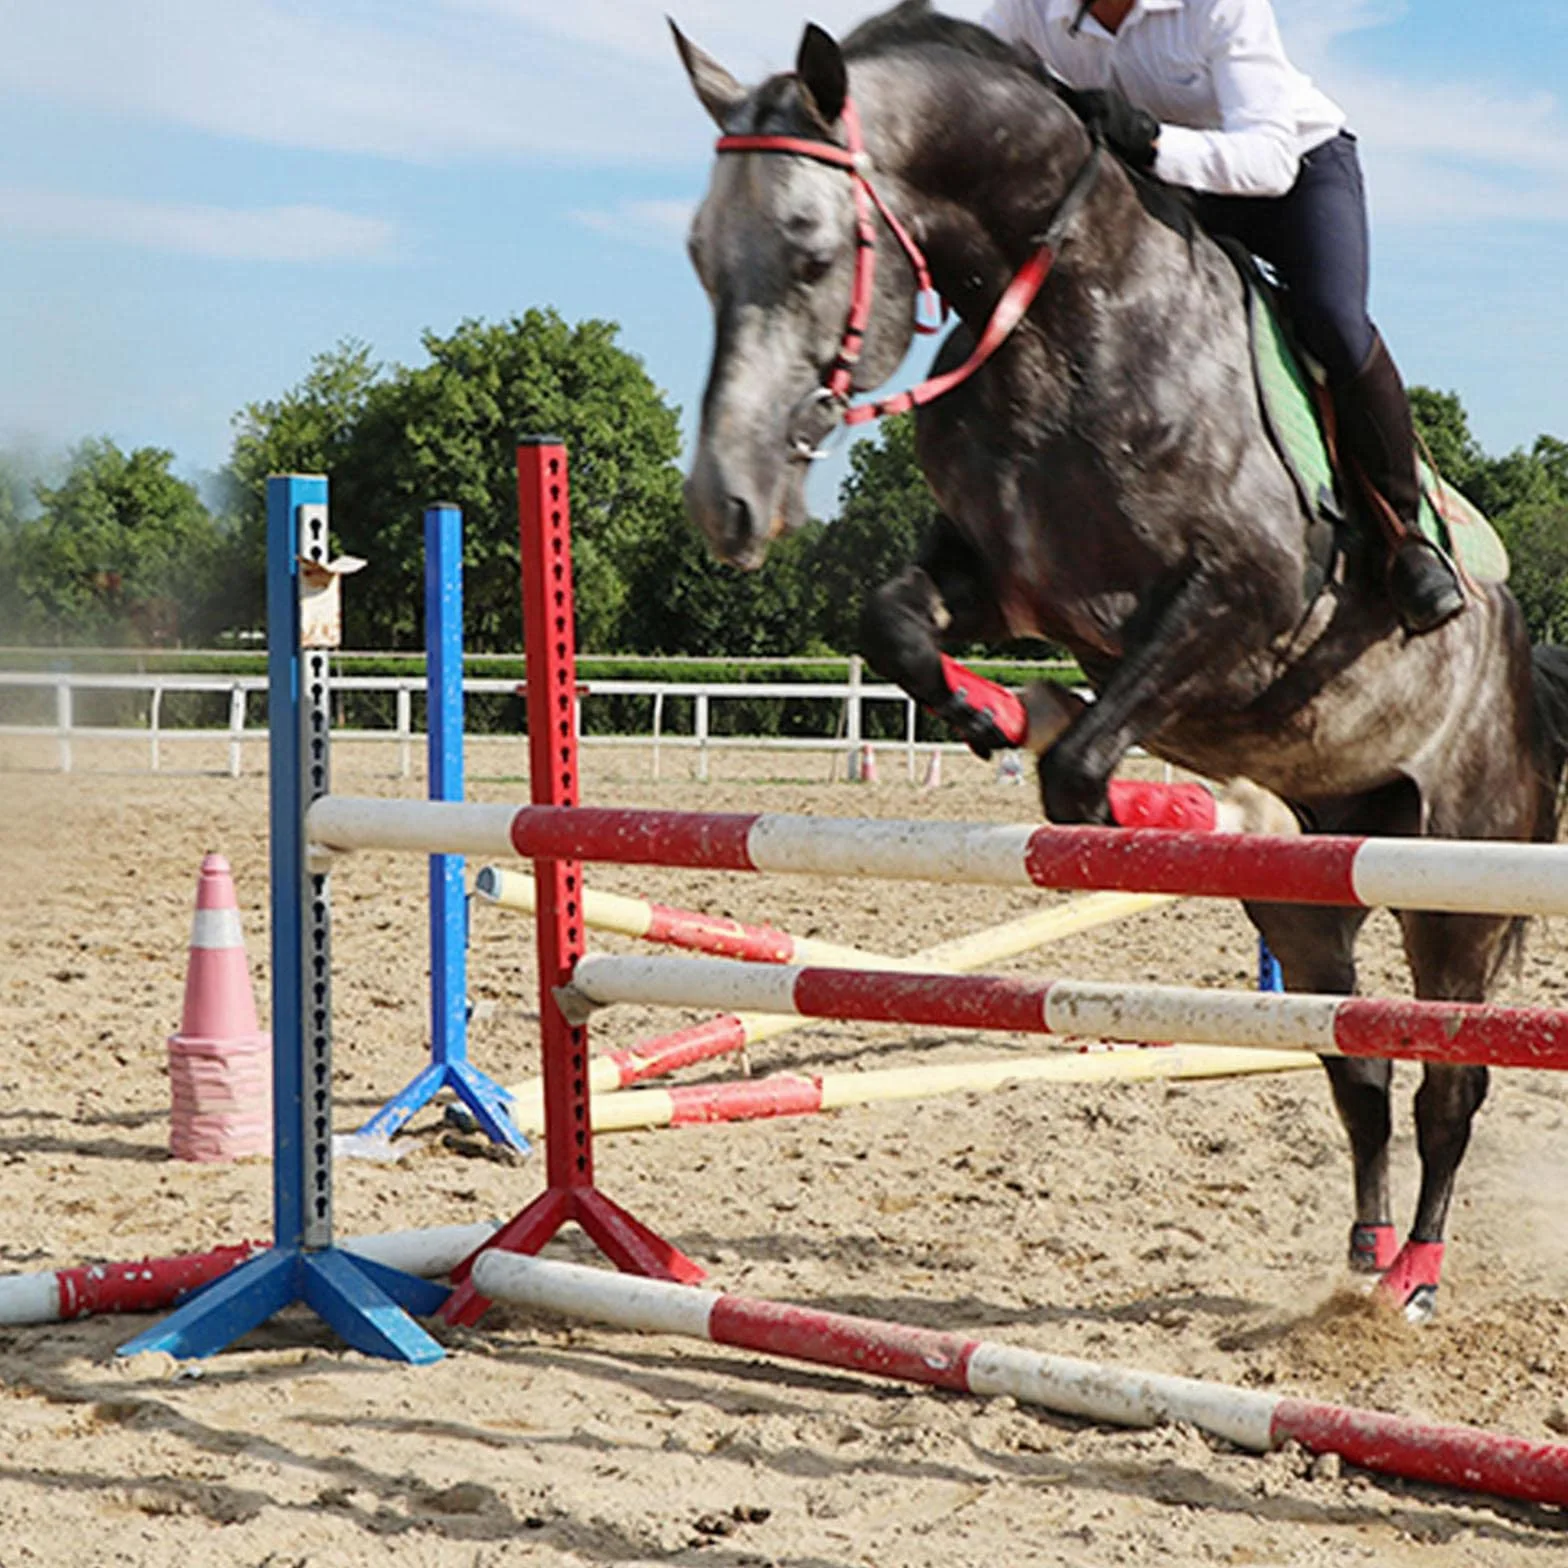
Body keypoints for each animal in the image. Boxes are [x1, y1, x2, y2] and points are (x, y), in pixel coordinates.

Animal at [672, 1, 1568, 1320]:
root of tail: (1514, 654)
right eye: (697, 253)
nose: (725, 506)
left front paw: (1082, 764)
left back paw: (1411, 1275)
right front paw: (997, 712)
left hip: (1455, 877)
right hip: (1312, 889)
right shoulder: (1008, 576)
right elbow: (897, 626)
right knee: (1356, 1064)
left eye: (807, 253)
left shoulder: (1239, 603)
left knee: (1448, 1081)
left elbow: (1085, 764)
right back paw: (1357, 1257)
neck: (1069, 308)